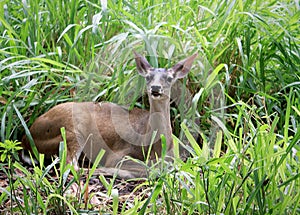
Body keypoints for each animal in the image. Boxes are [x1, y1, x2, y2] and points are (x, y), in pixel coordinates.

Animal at [22, 51, 198, 179]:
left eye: (169, 78)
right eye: (148, 77)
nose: (155, 88)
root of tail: (26, 136)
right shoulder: (118, 153)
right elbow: (147, 168)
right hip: (72, 129)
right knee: (70, 165)